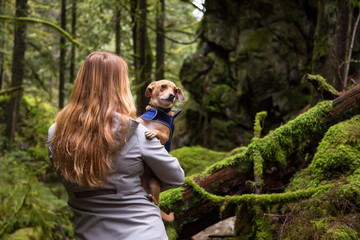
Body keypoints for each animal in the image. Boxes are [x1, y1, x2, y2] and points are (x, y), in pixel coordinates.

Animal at [138, 79, 186, 222]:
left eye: (175, 89)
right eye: (163, 86)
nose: (172, 95)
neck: (159, 111)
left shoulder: (165, 136)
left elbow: (159, 132)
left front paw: (153, 132)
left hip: (153, 183)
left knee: (156, 201)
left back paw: (152, 198)